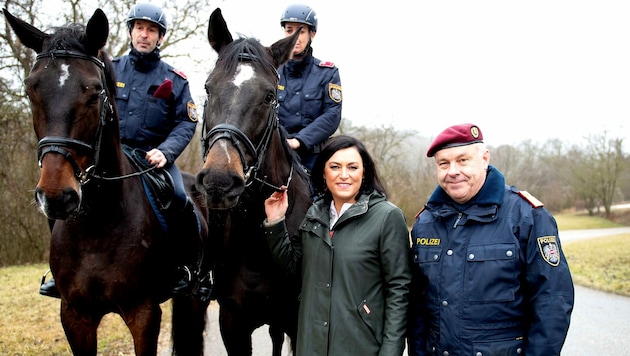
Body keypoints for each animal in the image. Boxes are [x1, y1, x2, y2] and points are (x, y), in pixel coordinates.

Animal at [3, 8, 212, 356]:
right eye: (31, 89)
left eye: (94, 92)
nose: (57, 196)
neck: (97, 226)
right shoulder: (75, 316)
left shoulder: (143, 313)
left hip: (194, 298)